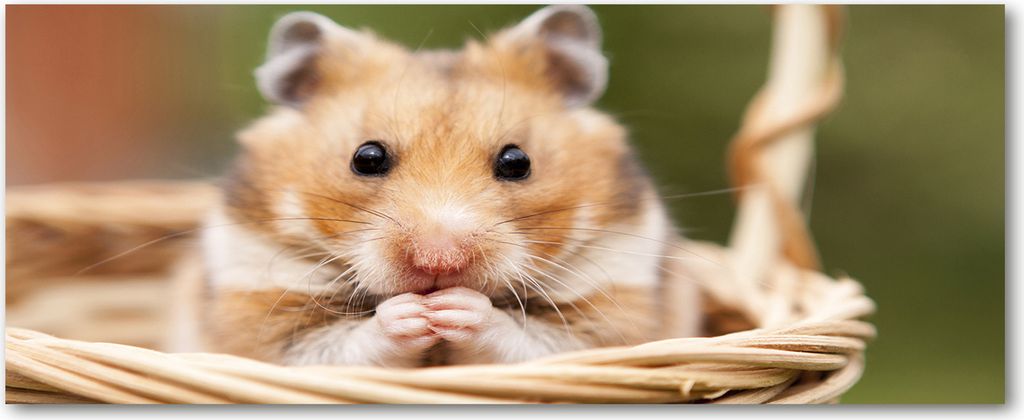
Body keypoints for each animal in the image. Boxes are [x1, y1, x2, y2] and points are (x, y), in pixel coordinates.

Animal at [194, 5, 701, 367]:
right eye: (366, 158)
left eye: (518, 162)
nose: (439, 262)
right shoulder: (260, 318)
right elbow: (343, 345)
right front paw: (414, 315)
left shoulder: (612, 316)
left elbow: (529, 338)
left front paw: (454, 308)